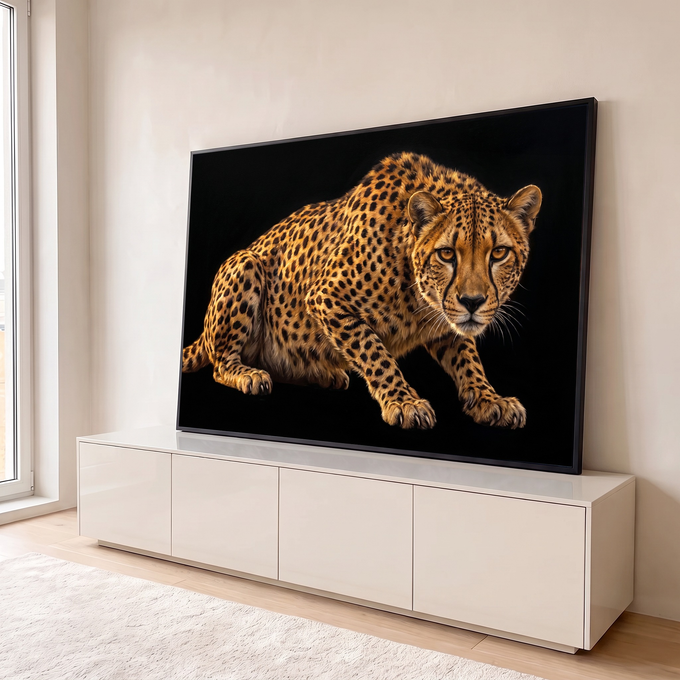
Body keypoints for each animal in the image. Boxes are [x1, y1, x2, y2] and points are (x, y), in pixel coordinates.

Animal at [182, 152, 541, 430]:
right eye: (447, 254)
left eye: (499, 253)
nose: (472, 301)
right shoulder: (326, 298)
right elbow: (373, 351)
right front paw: (404, 402)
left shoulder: (446, 321)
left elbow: (468, 359)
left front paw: (489, 399)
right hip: (245, 265)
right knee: (220, 362)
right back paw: (250, 375)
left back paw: (323, 375)